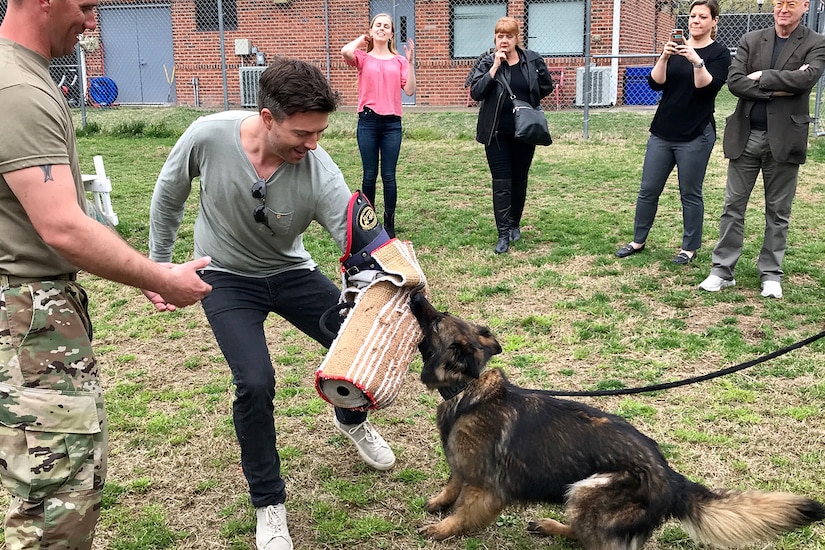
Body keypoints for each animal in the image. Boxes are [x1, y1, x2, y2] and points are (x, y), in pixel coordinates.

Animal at [408, 298, 824, 550]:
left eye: (436, 320)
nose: (416, 297)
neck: (468, 387)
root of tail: (672, 480)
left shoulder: (486, 489)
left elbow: (464, 511)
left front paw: (443, 529)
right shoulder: (463, 467)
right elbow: (453, 482)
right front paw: (439, 503)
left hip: (589, 490)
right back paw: (552, 526)